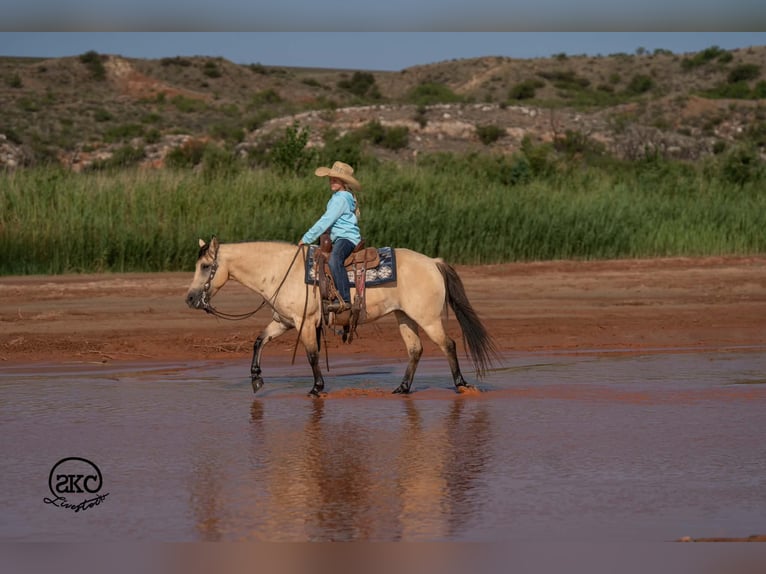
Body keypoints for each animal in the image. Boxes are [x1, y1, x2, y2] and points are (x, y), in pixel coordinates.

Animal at [185, 236, 497, 397]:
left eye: (205, 266)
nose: (189, 298)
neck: (279, 270)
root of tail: (433, 262)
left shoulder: (304, 323)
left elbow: (311, 355)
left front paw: (316, 388)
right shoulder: (284, 321)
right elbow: (259, 341)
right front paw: (256, 379)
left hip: (428, 318)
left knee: (448, 345)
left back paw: (461, 385)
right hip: (404, 316)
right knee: (415, 349)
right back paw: (402, 388)